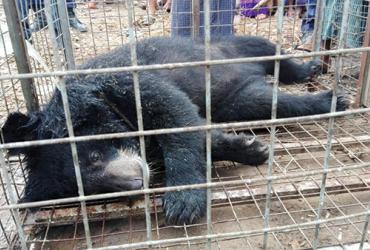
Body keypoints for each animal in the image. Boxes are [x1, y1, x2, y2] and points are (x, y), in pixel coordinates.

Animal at [0, 36, 346, 226]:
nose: (137, 181)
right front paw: (249, 149)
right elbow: (197, 130)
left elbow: (175, 113)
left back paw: (321, 83)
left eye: (94, 155)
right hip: (239, 98)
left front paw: (183, 203)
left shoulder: (127, 83)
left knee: (274, 55)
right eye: (97, 191)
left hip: (234, 44)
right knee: (268, 101)